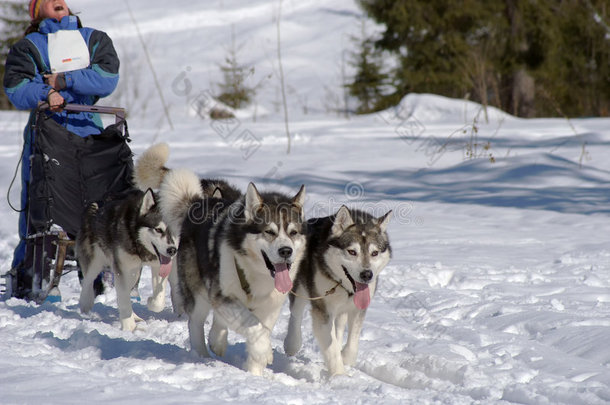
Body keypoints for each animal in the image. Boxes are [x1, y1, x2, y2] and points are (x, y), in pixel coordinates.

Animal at [77, 188, 177, 330]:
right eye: (158, 229)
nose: (172, 250)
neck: (138, 244)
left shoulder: (159, 265)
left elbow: (158, 301)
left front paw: (151, 302)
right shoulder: (122, 269)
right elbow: (124, 300)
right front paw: (129, 328)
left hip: (134, 273)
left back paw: (135, 316)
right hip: (95, 261)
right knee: (88, 279)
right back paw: (86, 302)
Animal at [282, 205, 390, 376]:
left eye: (375, 253)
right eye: (352, 252)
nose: (367, 275)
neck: (343, 285)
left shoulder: (357, 308)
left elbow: (352, 342)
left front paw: (346, 358)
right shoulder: (322, 309)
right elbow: (331, 347)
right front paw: (339, 376)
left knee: (339, 324)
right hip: (300, 286)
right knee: (296, 313)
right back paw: (292, 343)